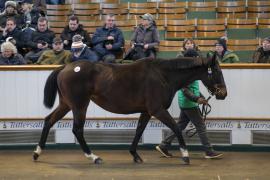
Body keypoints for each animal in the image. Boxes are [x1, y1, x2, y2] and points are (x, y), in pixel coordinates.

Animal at [33, 54, 228, 165]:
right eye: (217, 71)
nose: (223, 94)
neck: (163, 75)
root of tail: (66, 67)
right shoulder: (157, 110)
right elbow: (175, 128)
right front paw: (185, 155)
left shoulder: (147, 111)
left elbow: (139, 130)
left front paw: (135, 155)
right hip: (80, 105)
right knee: (77, 130)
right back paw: (94, 157)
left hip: (66, 104)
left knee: (49, 120)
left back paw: (37, 153)